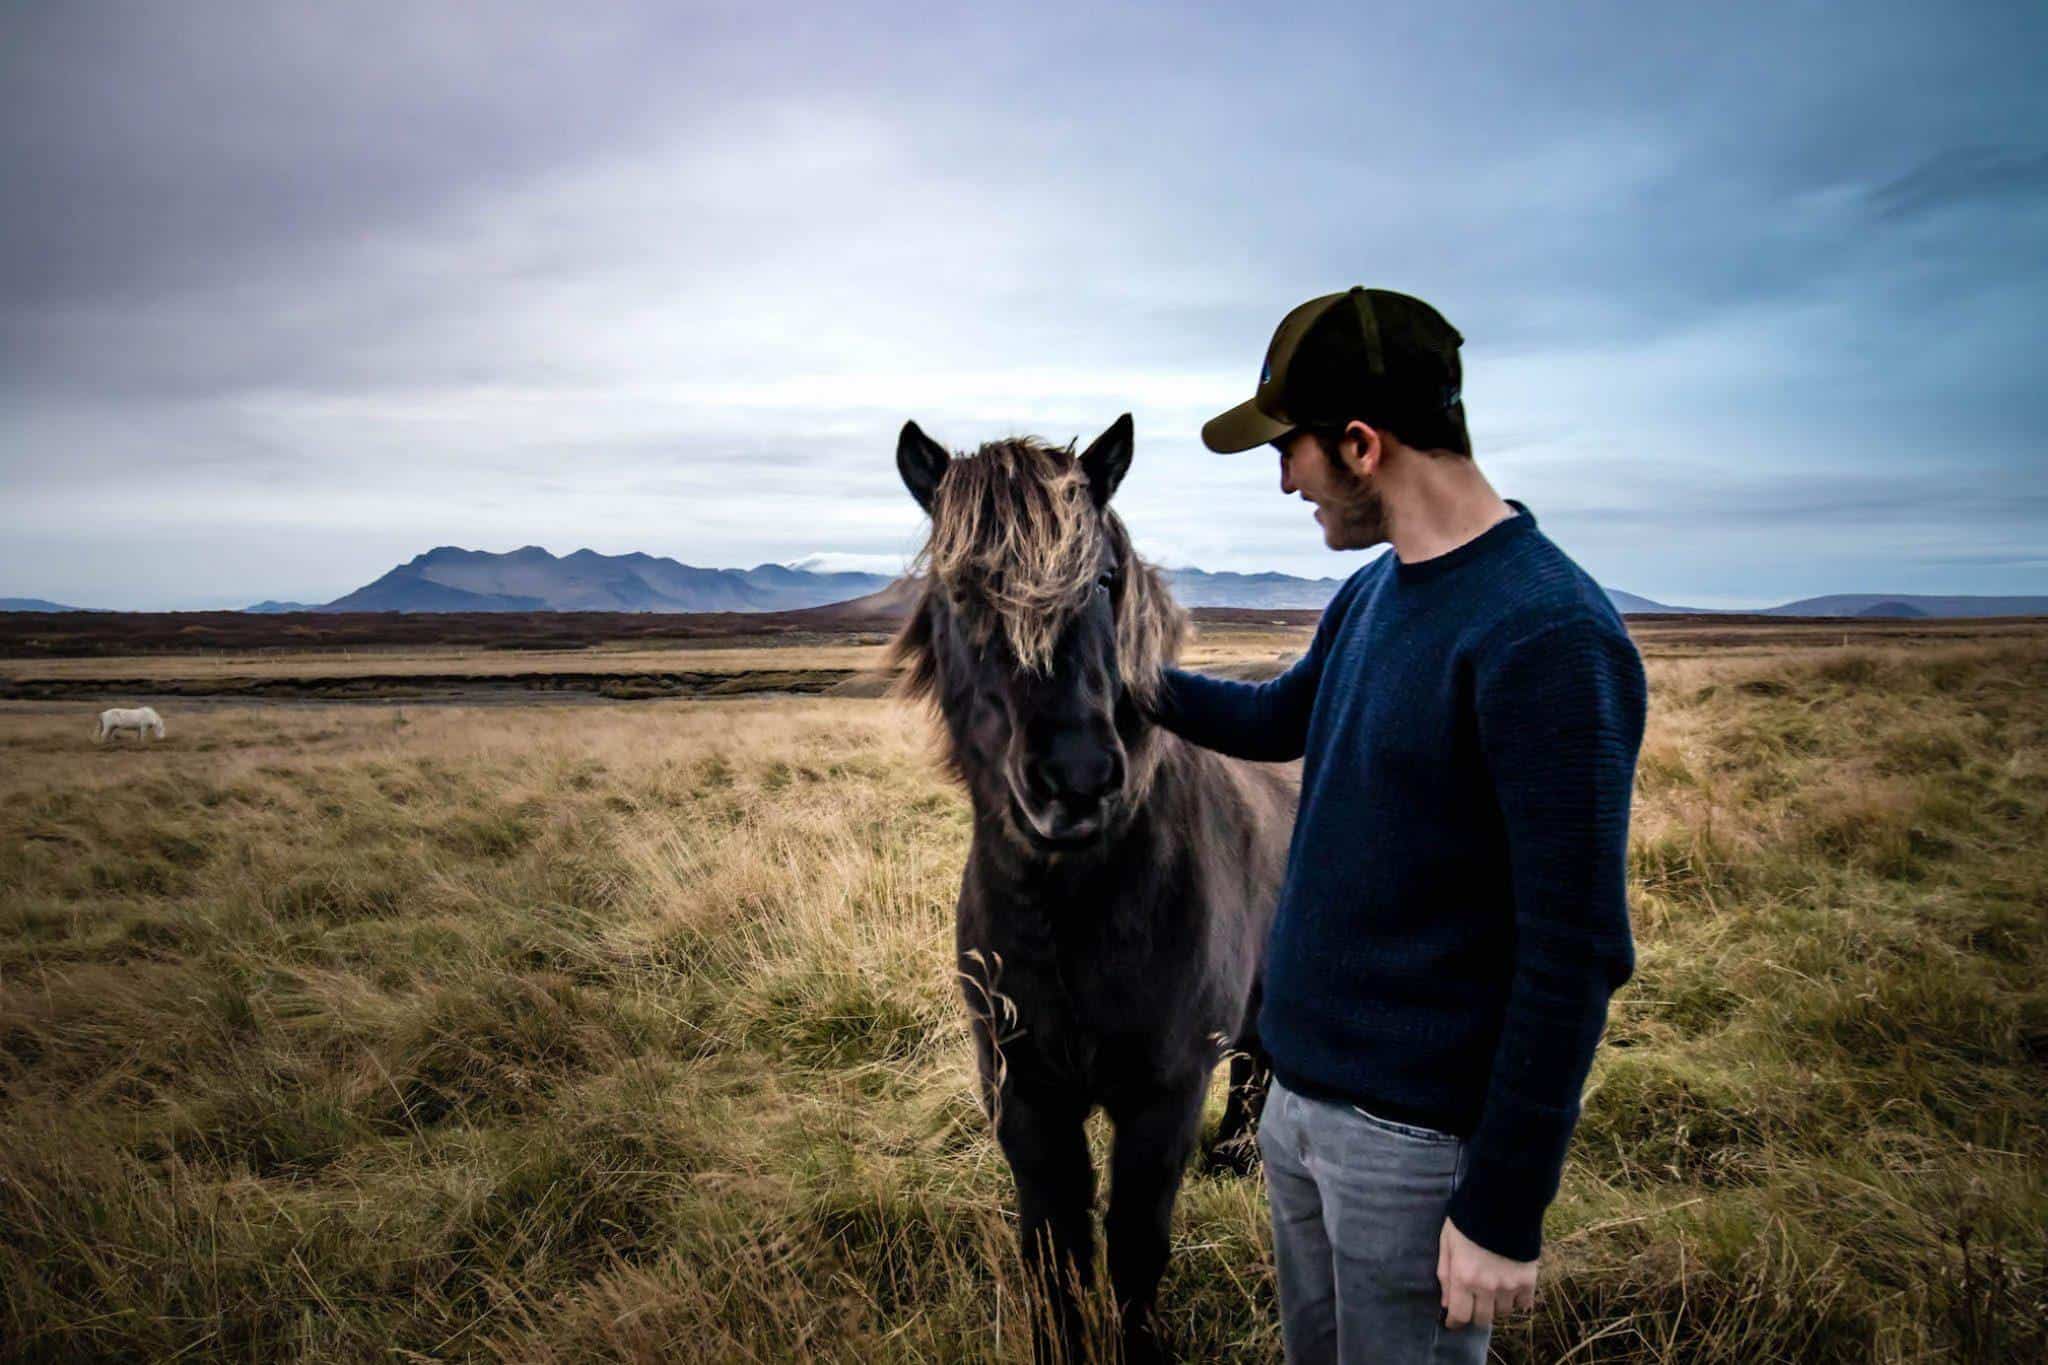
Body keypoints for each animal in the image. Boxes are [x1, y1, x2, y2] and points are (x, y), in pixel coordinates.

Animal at [884, 417, 1294, 1365]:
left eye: (1105, 579)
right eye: (962, 589)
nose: (1075, 777)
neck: (1071, 914)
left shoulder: (1163, 1094)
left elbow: (1135, 1247)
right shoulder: (1024, 1096)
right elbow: (1055, 1250)